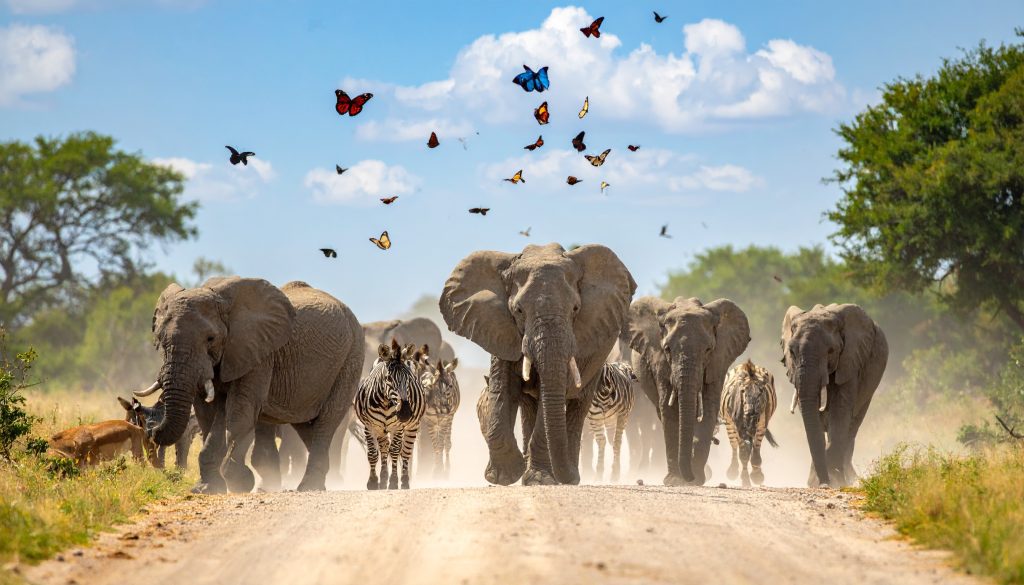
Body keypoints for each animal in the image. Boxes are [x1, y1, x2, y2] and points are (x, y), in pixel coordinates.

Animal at [137, 277, 364, 493]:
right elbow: (207, 415)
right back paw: (325, 480)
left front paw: (239, 482)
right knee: (305, 424)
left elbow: (239, 412)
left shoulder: (258, 354)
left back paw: (310, 486)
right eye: (160, 340)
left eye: (211, 338)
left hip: (351, 357)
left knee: (327, 420)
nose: (152, 429)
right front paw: (207, 488)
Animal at [354, 339, 426, 490]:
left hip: (412, 426)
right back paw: (383, 480)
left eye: (409, 378)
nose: (405, 413)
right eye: (388, 378)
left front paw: (393, 481)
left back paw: (404, 481)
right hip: (381, 429)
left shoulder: (398, 427)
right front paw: (373, 482)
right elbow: (372, 453)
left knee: (405, 452)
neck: (386, 403)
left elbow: (395, 450)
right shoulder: (369, 426)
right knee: (384, 449)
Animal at [440, 243, 636, 486]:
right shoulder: (500, 329)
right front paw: (504, 475)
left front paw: (538, 479)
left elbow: (551, 396)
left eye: (575, 309)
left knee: (578, 405)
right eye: (518, 311)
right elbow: (503, 390)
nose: (569, 477)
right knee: (528, 406)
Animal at [625, 296, 750, 486]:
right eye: (667, 349)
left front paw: (696, 479)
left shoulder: (718, 361)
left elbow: (709, 410)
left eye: (708, 350)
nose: (689, 477)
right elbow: (669, 410)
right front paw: (676, 481)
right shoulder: (659, 361)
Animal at [781, 303, 888, 488]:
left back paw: (849, 478)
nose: (825, 484)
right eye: (792, 352)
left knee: (852, 425)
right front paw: (818, 482)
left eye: (831, 351)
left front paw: (834, 480)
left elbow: (840, 411)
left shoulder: (850, 362)